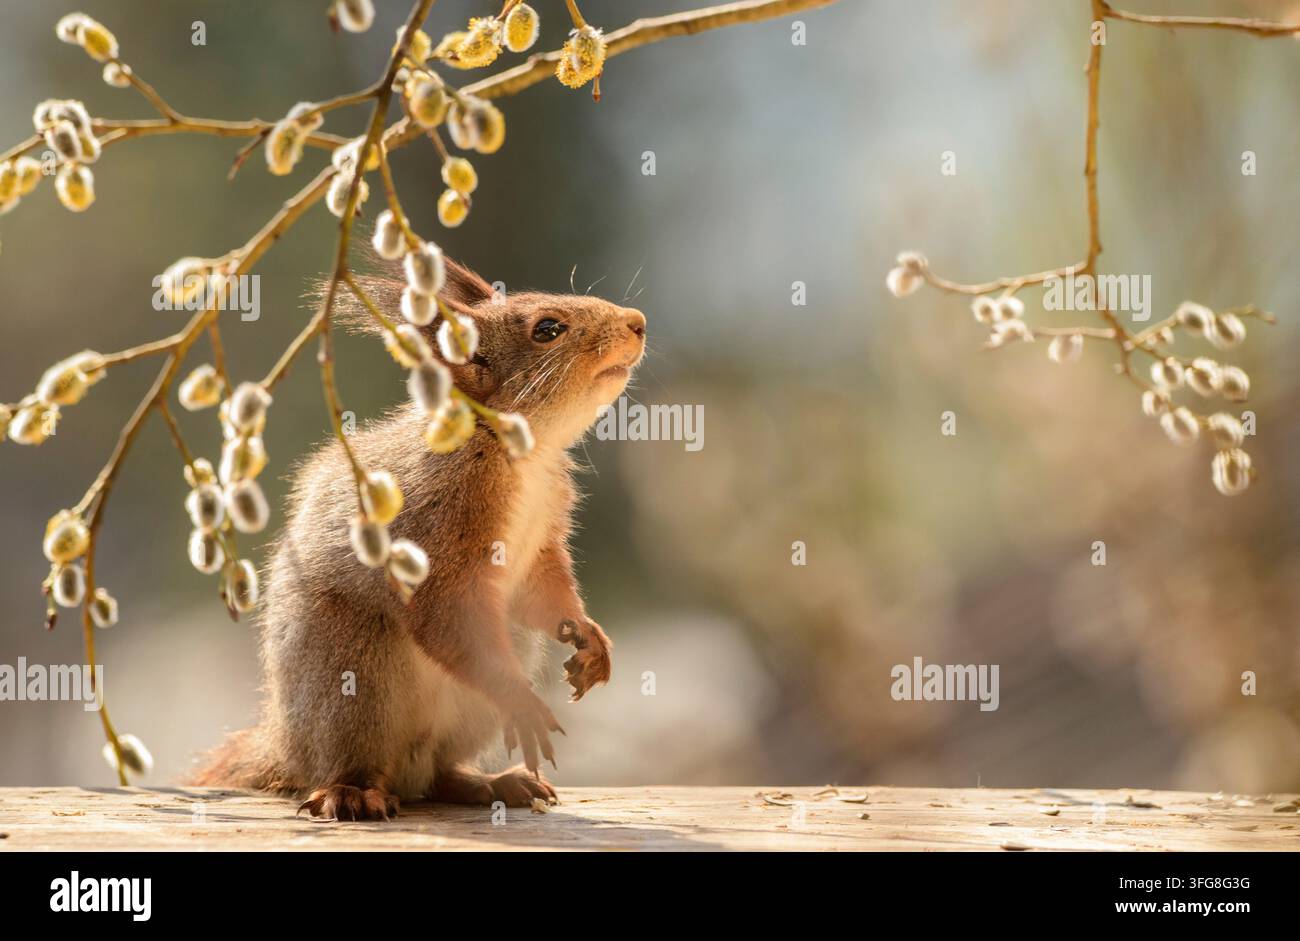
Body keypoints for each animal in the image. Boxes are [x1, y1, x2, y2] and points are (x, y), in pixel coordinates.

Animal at [188, 256, 646, 821]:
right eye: (547, 329)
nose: (637, 323)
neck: (521, 452)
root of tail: (282, 747)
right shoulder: (437, 524)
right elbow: (444, 613)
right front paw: (521, 700)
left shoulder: (541, 543)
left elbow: (544, 593)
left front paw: (587, 635)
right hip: (353, 677)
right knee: (355, 762)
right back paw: (353, 792)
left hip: (478, 692)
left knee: (437, 775)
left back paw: (489, 783)